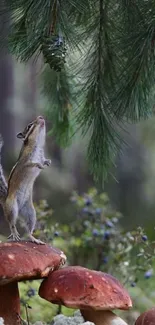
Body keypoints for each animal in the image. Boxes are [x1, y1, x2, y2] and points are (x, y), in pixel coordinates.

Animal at [0, 115, 51, 244]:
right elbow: (31, 164)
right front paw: (38, 165)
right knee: (11, 223)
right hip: (12, 208)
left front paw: (47, 162)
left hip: (31, 213)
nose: (40, 116)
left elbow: (43, 160)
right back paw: (14, 233)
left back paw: (34, 239)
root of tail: (5, 199)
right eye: (29, 126)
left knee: (28, 230)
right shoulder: (25, 162)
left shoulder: (41, 155)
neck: (37, 146)